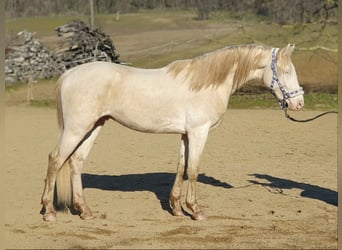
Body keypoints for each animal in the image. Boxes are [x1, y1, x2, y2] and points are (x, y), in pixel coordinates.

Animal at [40, 43, 304, 221]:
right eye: (286, 71)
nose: (299, 103)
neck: (206, 83)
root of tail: (69, 74)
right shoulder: (199, 132)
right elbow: (193, 170)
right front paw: (196, 211)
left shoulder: (186, 134)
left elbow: (181, 169)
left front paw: (176, 208)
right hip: (76, 128)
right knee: (55, 160)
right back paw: (49, 211)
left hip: (94, 126)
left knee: (76, 162)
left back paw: (84, 211)